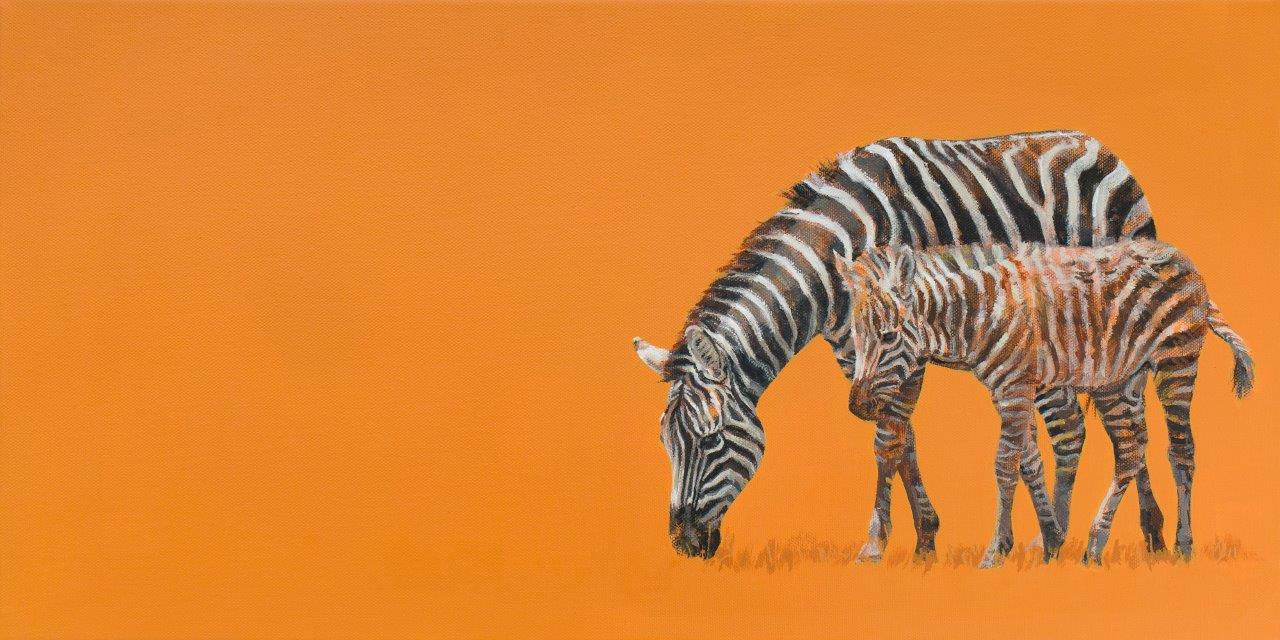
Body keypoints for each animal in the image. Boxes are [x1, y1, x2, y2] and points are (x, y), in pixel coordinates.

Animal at [632, 130, 1158, 560]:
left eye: (711, 440)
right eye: (665, 443)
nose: (683, 545)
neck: (840, 252)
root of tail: (1096, 144)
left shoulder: (907, 341)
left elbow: (888, 438)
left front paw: (876, 542)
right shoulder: (855, 352)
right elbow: (903, 438)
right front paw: (925, 536)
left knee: (1123, 416)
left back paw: (1137, 530)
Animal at [833, 241, 1253, 565]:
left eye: (888, 337)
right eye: (856, 335)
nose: (858, 406)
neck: (979, 314)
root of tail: (1182, 257)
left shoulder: (1017, 389)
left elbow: (1005, 465)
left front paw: (995, 552)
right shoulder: (1010, 391)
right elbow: (1029, 461)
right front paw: (1048, 540)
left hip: (1176, 363)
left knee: (1181, 451)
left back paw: (1183, 546)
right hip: (1118, 379)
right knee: (1131, 452)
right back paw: (1095, 545)